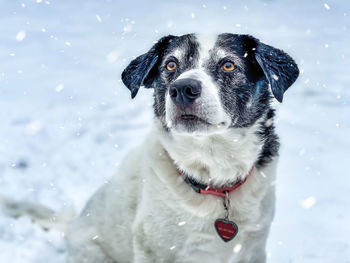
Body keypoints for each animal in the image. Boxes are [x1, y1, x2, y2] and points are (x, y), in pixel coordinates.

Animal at [1, 33, 300, 263]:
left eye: (228, 65)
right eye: (170, 65)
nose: (183, 88)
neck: (212, 176)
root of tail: (72, 224)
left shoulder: (253, 249)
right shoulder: (154, 250)